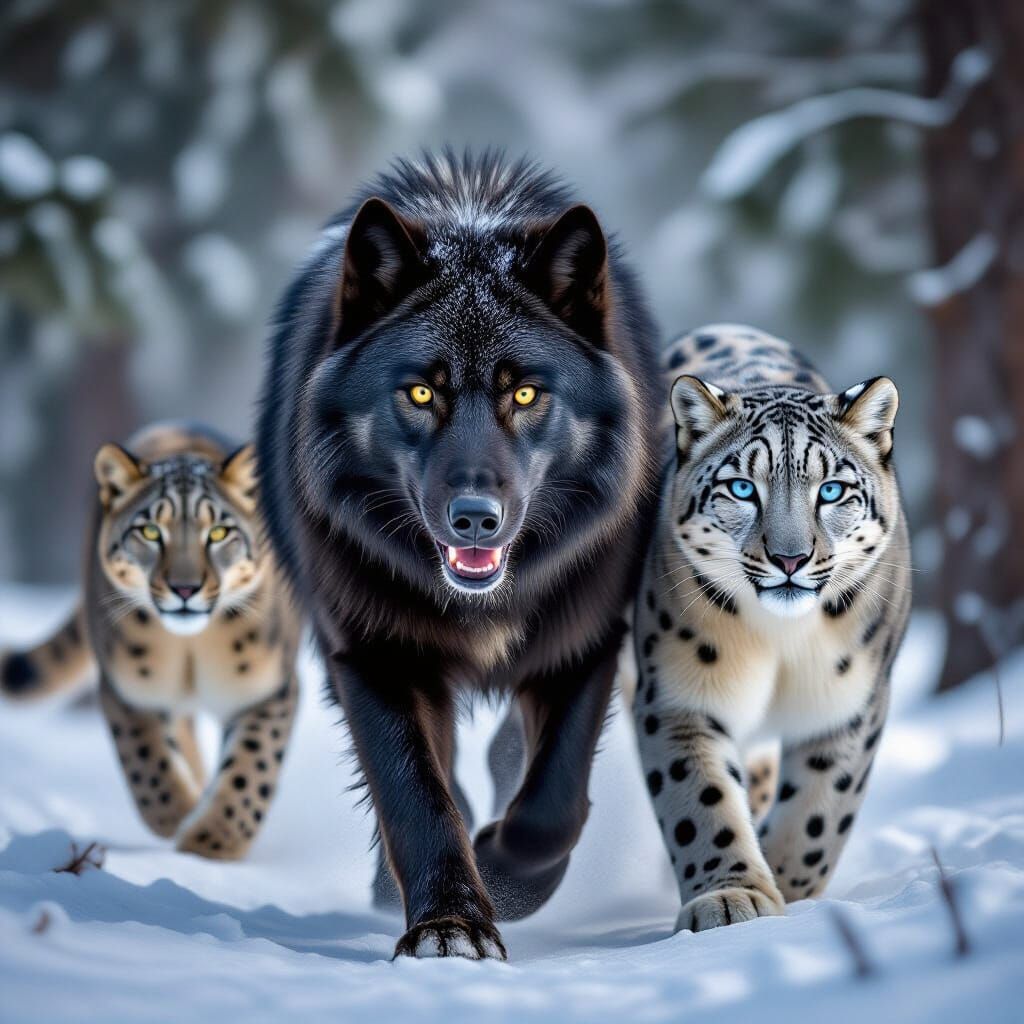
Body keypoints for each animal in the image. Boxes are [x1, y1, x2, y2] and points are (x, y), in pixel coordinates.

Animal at [257, 150, 663, 959]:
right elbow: (417, 797)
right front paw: (451, 924)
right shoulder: (372, 655)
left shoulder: (588, 640)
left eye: (526, 393)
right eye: (420, 393)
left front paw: (506, 878)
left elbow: (552, 804)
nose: (476, 519)